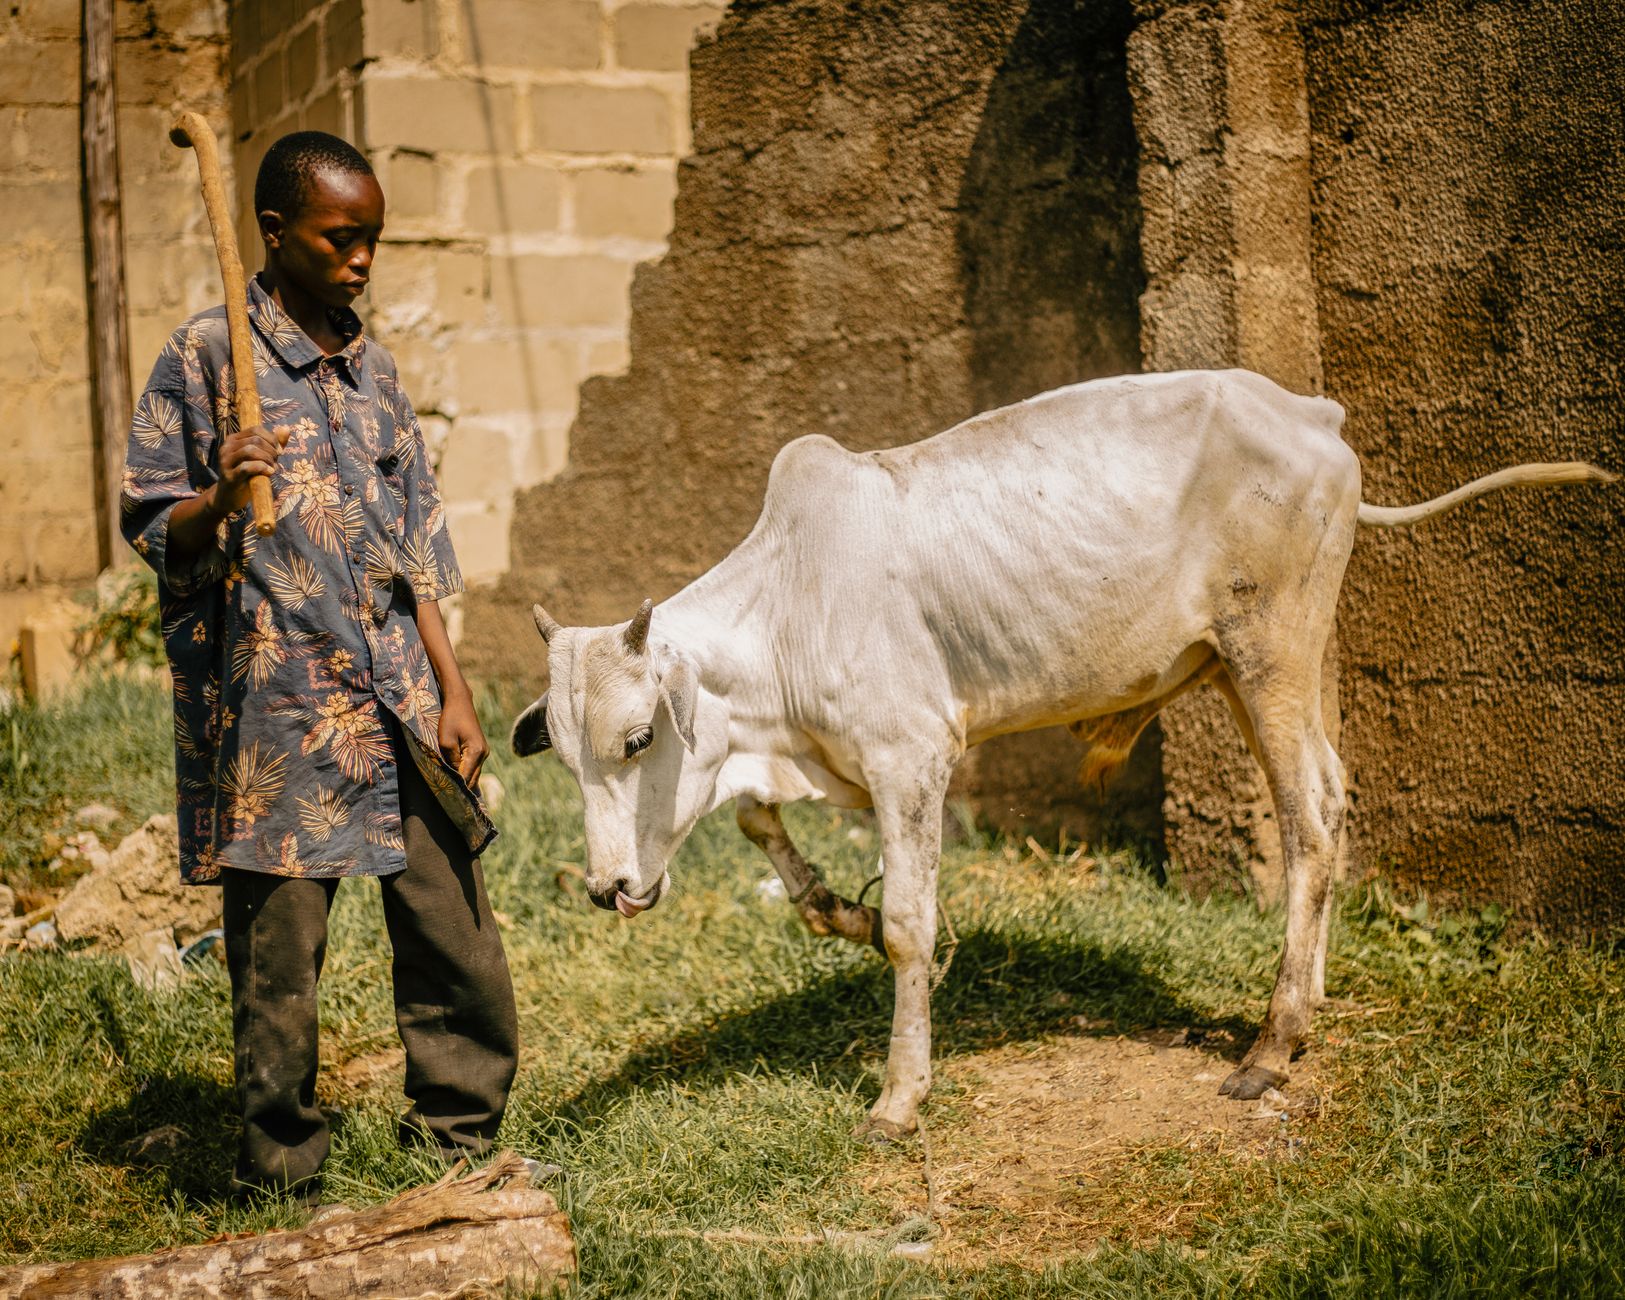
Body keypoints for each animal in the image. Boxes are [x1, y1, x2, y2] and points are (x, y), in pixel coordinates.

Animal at [509, 368, 1612, 1141]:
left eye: (636, 738)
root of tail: (1315, 417)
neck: (787, 607)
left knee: (1311, 814)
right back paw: (1309, 1009)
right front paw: (832, 909)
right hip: (1238, 664)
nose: (608, 886)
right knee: (1333, 797)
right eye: (564, 760)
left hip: (1271, 649)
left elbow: (908, 927)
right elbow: (755, 819)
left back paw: (1274, 1039)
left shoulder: (912, 755)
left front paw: (897, 1096)